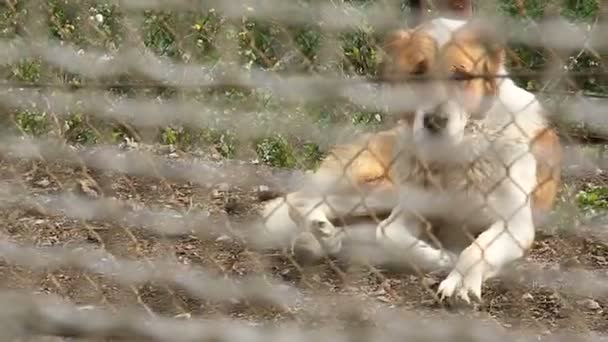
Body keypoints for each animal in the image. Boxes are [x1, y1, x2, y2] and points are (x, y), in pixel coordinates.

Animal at [255, 18, 560, 302]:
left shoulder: (515, 225)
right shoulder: (407, 214)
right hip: (382, 188)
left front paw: (459, 283)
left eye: (461, 76)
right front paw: (440, 257)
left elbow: (477, 248)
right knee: (300, 202)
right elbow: (389, 234)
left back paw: (321, 239)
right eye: (418, 73)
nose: (435, 121)